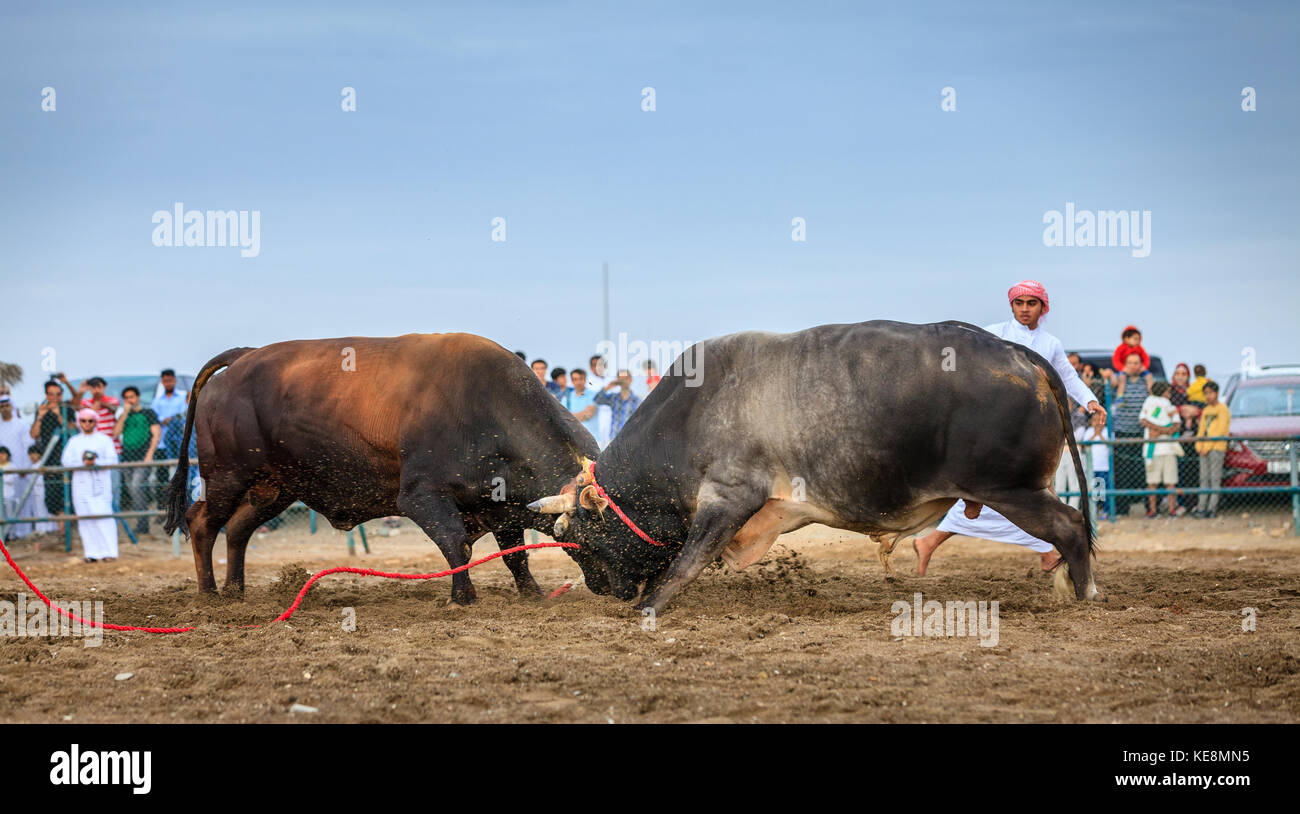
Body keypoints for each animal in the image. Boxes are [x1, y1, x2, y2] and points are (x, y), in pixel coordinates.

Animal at [533, 319, 1102, 611]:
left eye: (578, 534)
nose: (600, 589)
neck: (690, 413)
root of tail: (1019, 352)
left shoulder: (729, 497)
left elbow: (689, 560)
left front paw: (650, 606)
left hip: (1012, 488)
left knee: (1071, 527)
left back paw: (1083, 594)